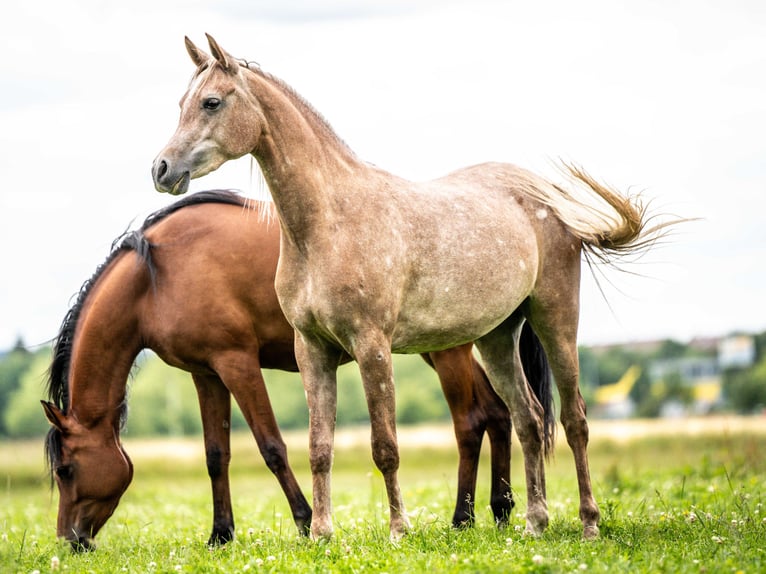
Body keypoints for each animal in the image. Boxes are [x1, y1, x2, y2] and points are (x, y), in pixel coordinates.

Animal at [42, 189, 554, 551]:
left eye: (66, 470)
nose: (70, 541)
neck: (156, 278)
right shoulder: (206, 374)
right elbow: (215, 455)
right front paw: (220, 534)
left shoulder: (237, 363)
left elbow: (271, 447)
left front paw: (306, 521)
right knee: (500, 415)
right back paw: (502, 510)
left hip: (449, 350)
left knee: (471, 422)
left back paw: (463, 518)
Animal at [152, 34, 673, 541]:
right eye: (181, 103)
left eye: (212, 102)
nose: (161, 169)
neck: (328, 223)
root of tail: (547, 195)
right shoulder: (312, 350)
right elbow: (320, 445)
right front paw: (320, 533)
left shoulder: (372, 346)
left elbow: (385, 445)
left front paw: (399, 530)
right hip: (497, 337)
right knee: (527, 419)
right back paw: (534, 523)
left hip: (555, 319)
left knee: (574, 420)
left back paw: (588, 523)